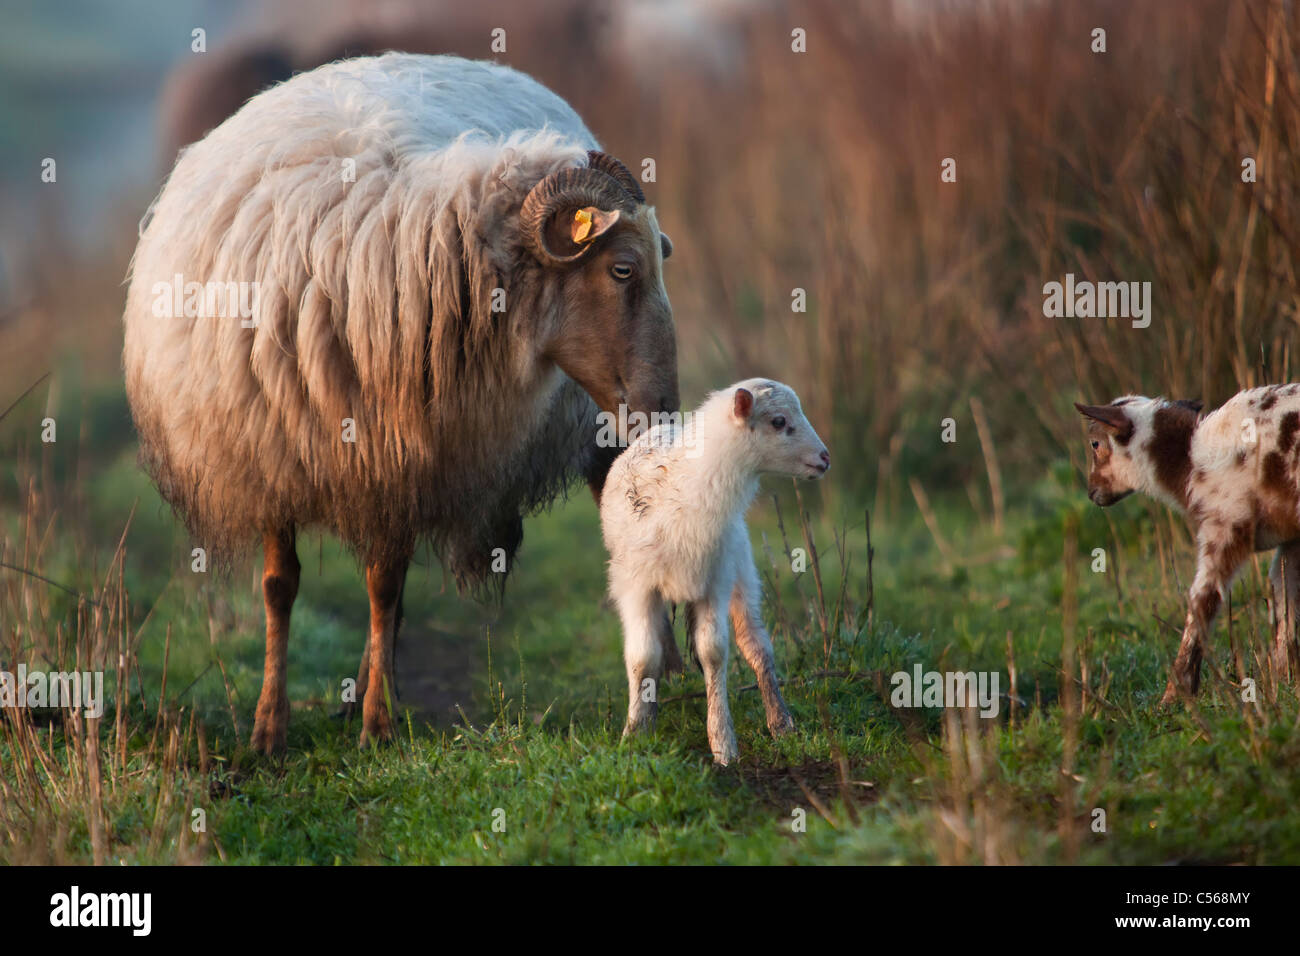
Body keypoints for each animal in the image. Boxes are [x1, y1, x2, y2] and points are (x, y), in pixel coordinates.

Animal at [122, 54, 681, 754]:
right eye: (623, 269)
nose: (666, 407)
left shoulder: (395, 460)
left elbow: (383, 588)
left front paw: (379, 725)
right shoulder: (274, 457)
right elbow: (281, 587)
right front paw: (270, 727)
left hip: (587, 433)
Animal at [600, 379, 832, 764]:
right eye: (779, 421)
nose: (826, 458)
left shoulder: (715, 581)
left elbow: (713, 652)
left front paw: (723, 742)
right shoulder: (636, 585)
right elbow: (643, 658)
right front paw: (635, 733)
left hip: (741, 568)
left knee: (756, 646)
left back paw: (780, 722)